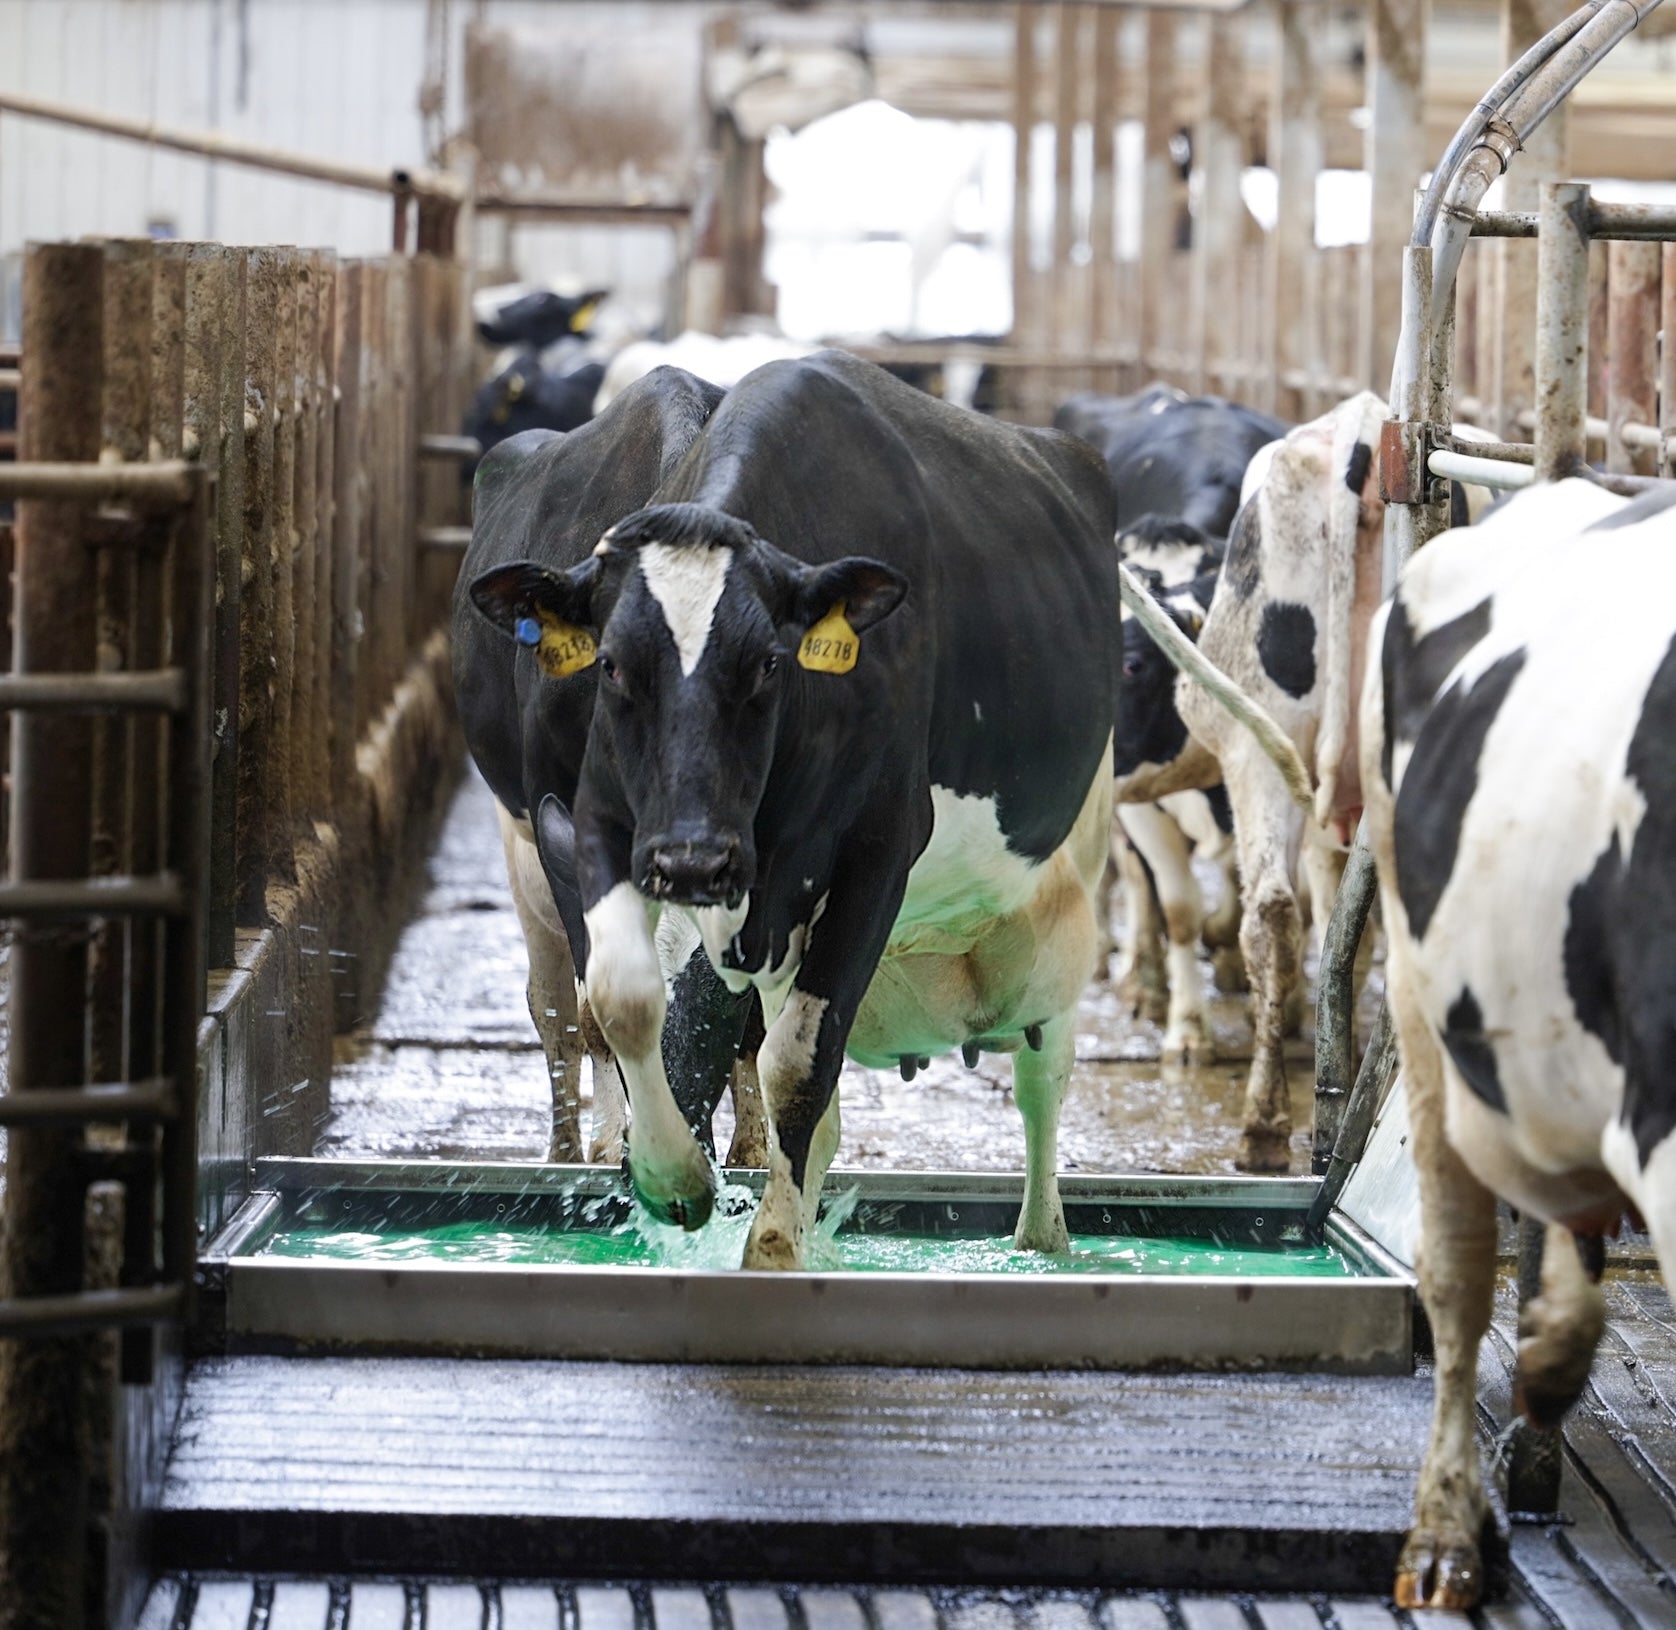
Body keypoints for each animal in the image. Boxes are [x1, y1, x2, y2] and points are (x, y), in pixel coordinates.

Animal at [463, 348, 1119, 1269]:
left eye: (772, 662)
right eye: (611, 664)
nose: (693, 860)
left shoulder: (877, 849)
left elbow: (796, 1067)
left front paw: (771, 1245)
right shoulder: (594, 824)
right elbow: (621, 999)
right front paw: (672, 1179)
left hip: (1068, 878)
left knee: (1043, 1071)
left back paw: (1042, 1238)